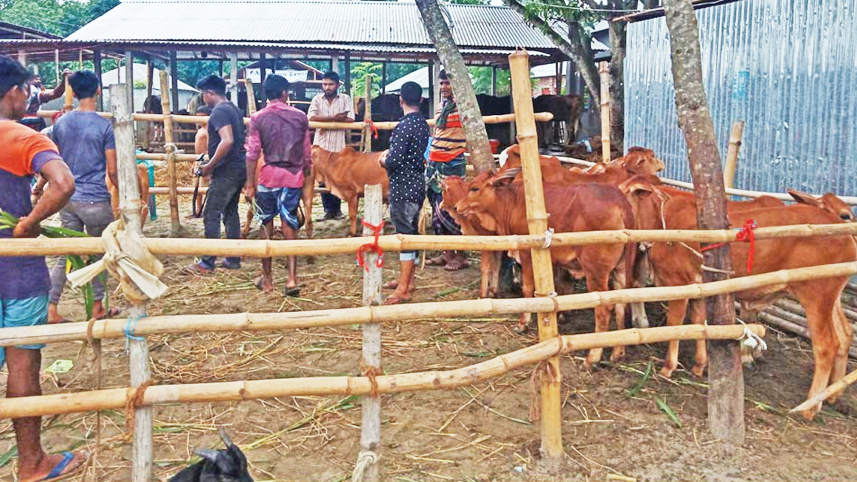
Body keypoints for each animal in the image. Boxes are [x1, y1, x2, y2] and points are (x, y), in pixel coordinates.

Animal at [457, 169, 637, 367]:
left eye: (474, 188)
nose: (457, 206)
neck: (512, 201)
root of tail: (619, 203)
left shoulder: (527, 255)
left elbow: (528, 290)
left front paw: (522, 324)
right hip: (620, 270)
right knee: (621, 304)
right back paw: (617, 352)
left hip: (595, 272)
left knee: (604, 309)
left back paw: (592, 358)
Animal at [622, 177, 857, 420]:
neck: (663, 217)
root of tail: (845, 235)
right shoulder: (700, 288)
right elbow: (699, 323)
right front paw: (699, 365)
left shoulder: (680, 284)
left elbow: (675, 325)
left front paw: (668, 367)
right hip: (830, 298)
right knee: (845, 334)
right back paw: (832, 396)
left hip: (816, 296)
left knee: (826, 345)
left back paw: (810, 407)